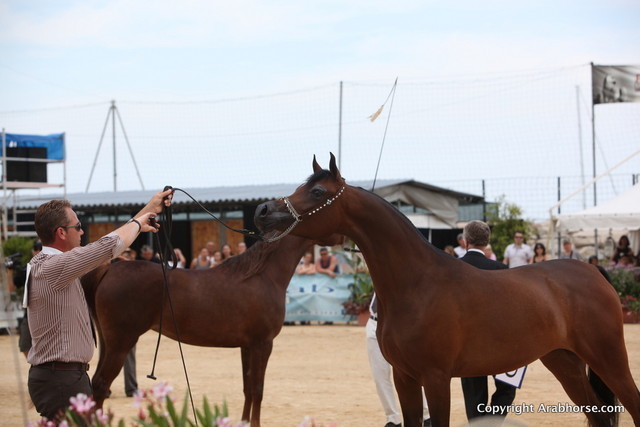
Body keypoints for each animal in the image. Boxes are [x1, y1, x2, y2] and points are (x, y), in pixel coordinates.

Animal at [81, 234, 325, 427]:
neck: (260, 276)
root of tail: (109, 267)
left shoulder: (247, 346)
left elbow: (247, 388)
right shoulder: (262, 344)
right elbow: (257, 389)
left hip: (108, 344)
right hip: (121, 344)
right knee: (100, 385)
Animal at [254, 153, 640, 427]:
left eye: (317, 191)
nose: (261, 210)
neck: (417, 284)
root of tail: (592, 271)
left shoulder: (436, 378)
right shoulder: (405, 377)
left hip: (608, 357)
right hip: (564, 360)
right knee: (598, 415)